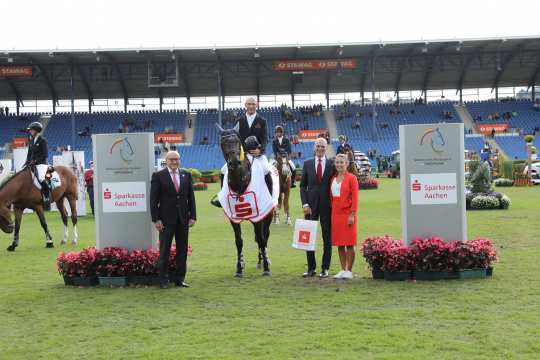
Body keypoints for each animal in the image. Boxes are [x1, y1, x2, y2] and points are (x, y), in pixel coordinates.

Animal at [216, 125, 272, 278]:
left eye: (237, 141)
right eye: (223, 143)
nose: (234, 163)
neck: (240, 181)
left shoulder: (259, 215)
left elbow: (262, 239)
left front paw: (267, 267)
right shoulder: (233, 218)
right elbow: (239, 241)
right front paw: (239, 268)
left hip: (267, 214)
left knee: (264, 236)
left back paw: (265, 260)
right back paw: (259, 261)